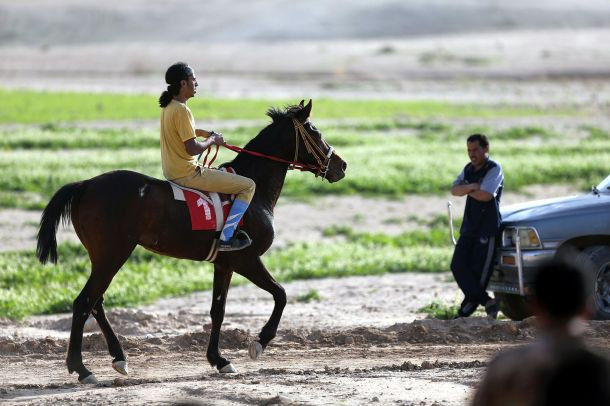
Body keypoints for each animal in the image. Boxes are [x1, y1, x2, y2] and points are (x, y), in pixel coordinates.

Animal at [35, 100, 344, 382]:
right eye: (314, 131)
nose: (341, 165)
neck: (256, 191)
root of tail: (85, 184)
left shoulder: (224, 264)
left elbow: (218, 310)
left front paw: (219, 360)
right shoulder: (246, 259)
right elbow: (281, 294)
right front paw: (259, 342)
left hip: (103, 257)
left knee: (95, 302)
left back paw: (119, 358)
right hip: (113, 254)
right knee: (83, 302)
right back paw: (81, 368)